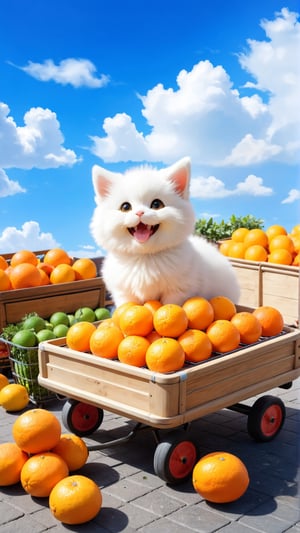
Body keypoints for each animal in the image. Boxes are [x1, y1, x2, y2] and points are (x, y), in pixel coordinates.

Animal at [90, 156, 240, 306]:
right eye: (125, 207)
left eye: (156, 204)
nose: (139, 212)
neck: (145, 257)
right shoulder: (124, 293)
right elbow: (125, 307)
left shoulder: (178, 291)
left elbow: (170, 306)